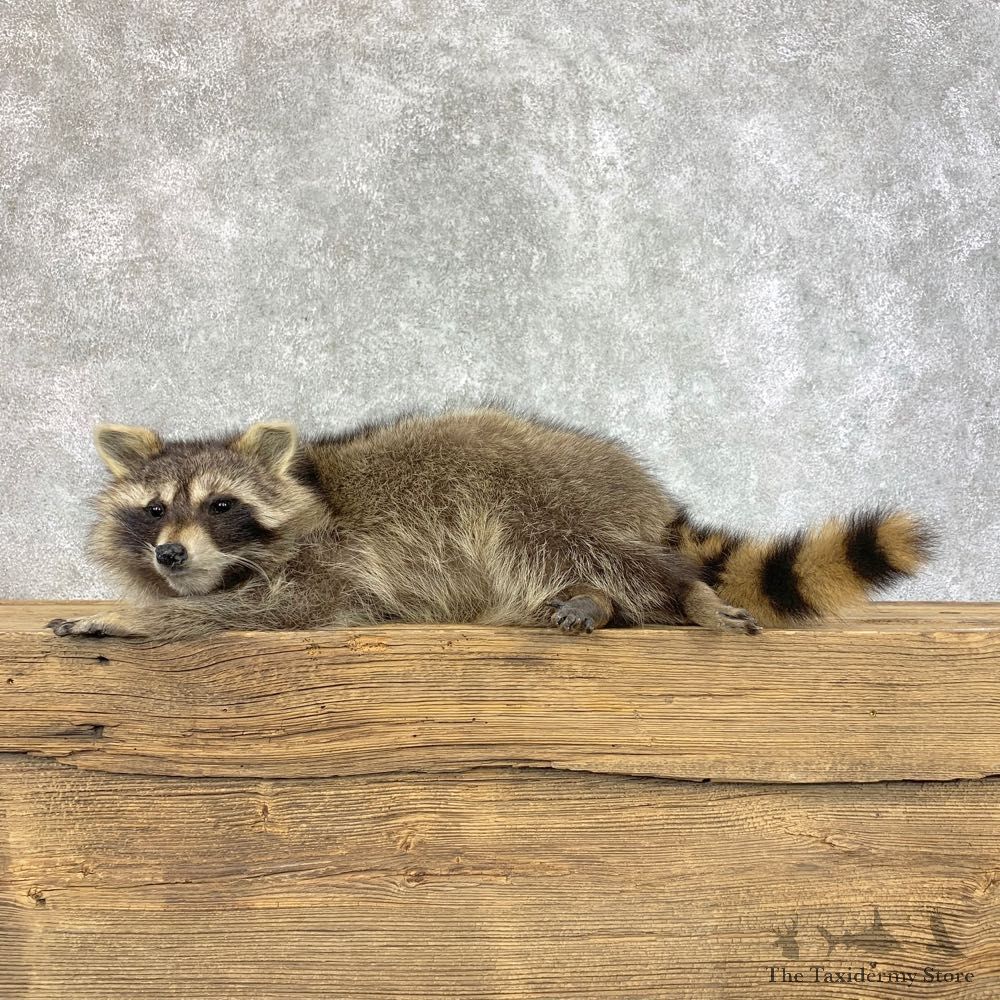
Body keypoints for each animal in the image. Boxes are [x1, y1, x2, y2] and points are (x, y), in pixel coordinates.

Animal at [46, 406, 933, 642]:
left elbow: (281, 610)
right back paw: (594, 603)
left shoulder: (334, 562)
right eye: (155, 511)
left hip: (532, 494)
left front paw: (137, 619)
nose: (168, 555)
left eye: (221, 507)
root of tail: (647, 494)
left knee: (576, 548)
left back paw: (678, 594)